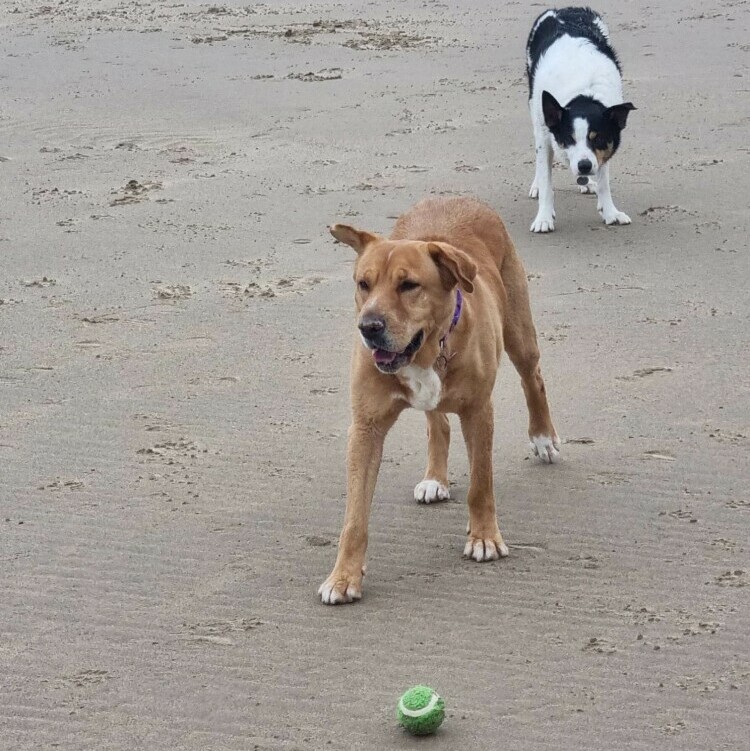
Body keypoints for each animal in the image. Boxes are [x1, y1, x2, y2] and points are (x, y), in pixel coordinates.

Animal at [318, 195, 560, 604]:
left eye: (409, 285)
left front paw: (484, 538)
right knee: (437, 422)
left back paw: (543, 437)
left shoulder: (479, 411)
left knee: (534, 379)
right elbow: (354, 517)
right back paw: (435, 478)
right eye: (363, 284)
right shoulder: (366, 427)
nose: (369, 327)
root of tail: (458, 197)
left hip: (519, 330)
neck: (428, 348)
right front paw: (343, 576)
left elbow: (481, 484)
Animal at [524, 8, 636, 232]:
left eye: (598, 138)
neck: (584, 94)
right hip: (535, 109)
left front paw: (610, 212)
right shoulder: (545, 134)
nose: (584, 166)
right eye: (569, 138)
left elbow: (604, 181)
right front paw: (544, 218)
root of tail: (562, 10)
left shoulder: (603, 148)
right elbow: (546, 179)